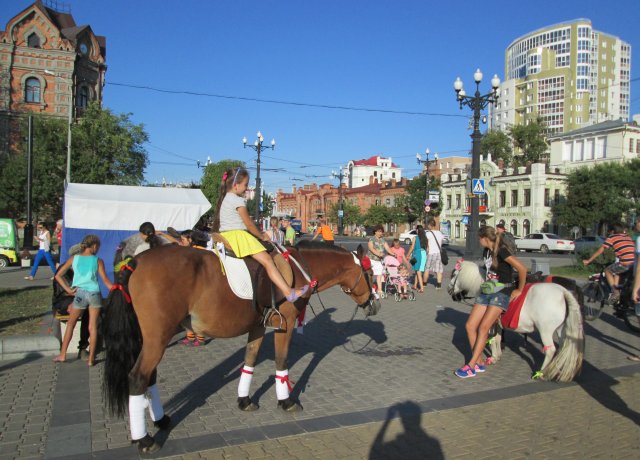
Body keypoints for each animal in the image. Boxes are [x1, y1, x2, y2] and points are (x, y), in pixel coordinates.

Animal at [102, 241, 378, 452]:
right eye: (371, 274)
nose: (375, 305)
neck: (299, 270)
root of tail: (135, 262)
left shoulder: (257, 326)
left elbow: (250, 360)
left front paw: (244, 399)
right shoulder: (285, 325)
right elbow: (282, 362)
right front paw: (285, 400)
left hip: (150, 339)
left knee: (150, 377)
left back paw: (160, 419)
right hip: (158, 338)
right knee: (138, 377)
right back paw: (144, 439)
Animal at [448, 260, 584, 382]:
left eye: (454, 275)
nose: (449, 290)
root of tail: (563, 292)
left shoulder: (491, 322)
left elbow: (492, 339)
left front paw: (493, 357)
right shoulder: (498, 323)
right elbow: (497, 338)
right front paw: (496, 356)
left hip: (545, 330)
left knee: (550, 350)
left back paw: (541, 373)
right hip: (561, 329)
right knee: (562, 347)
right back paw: (555, 369)